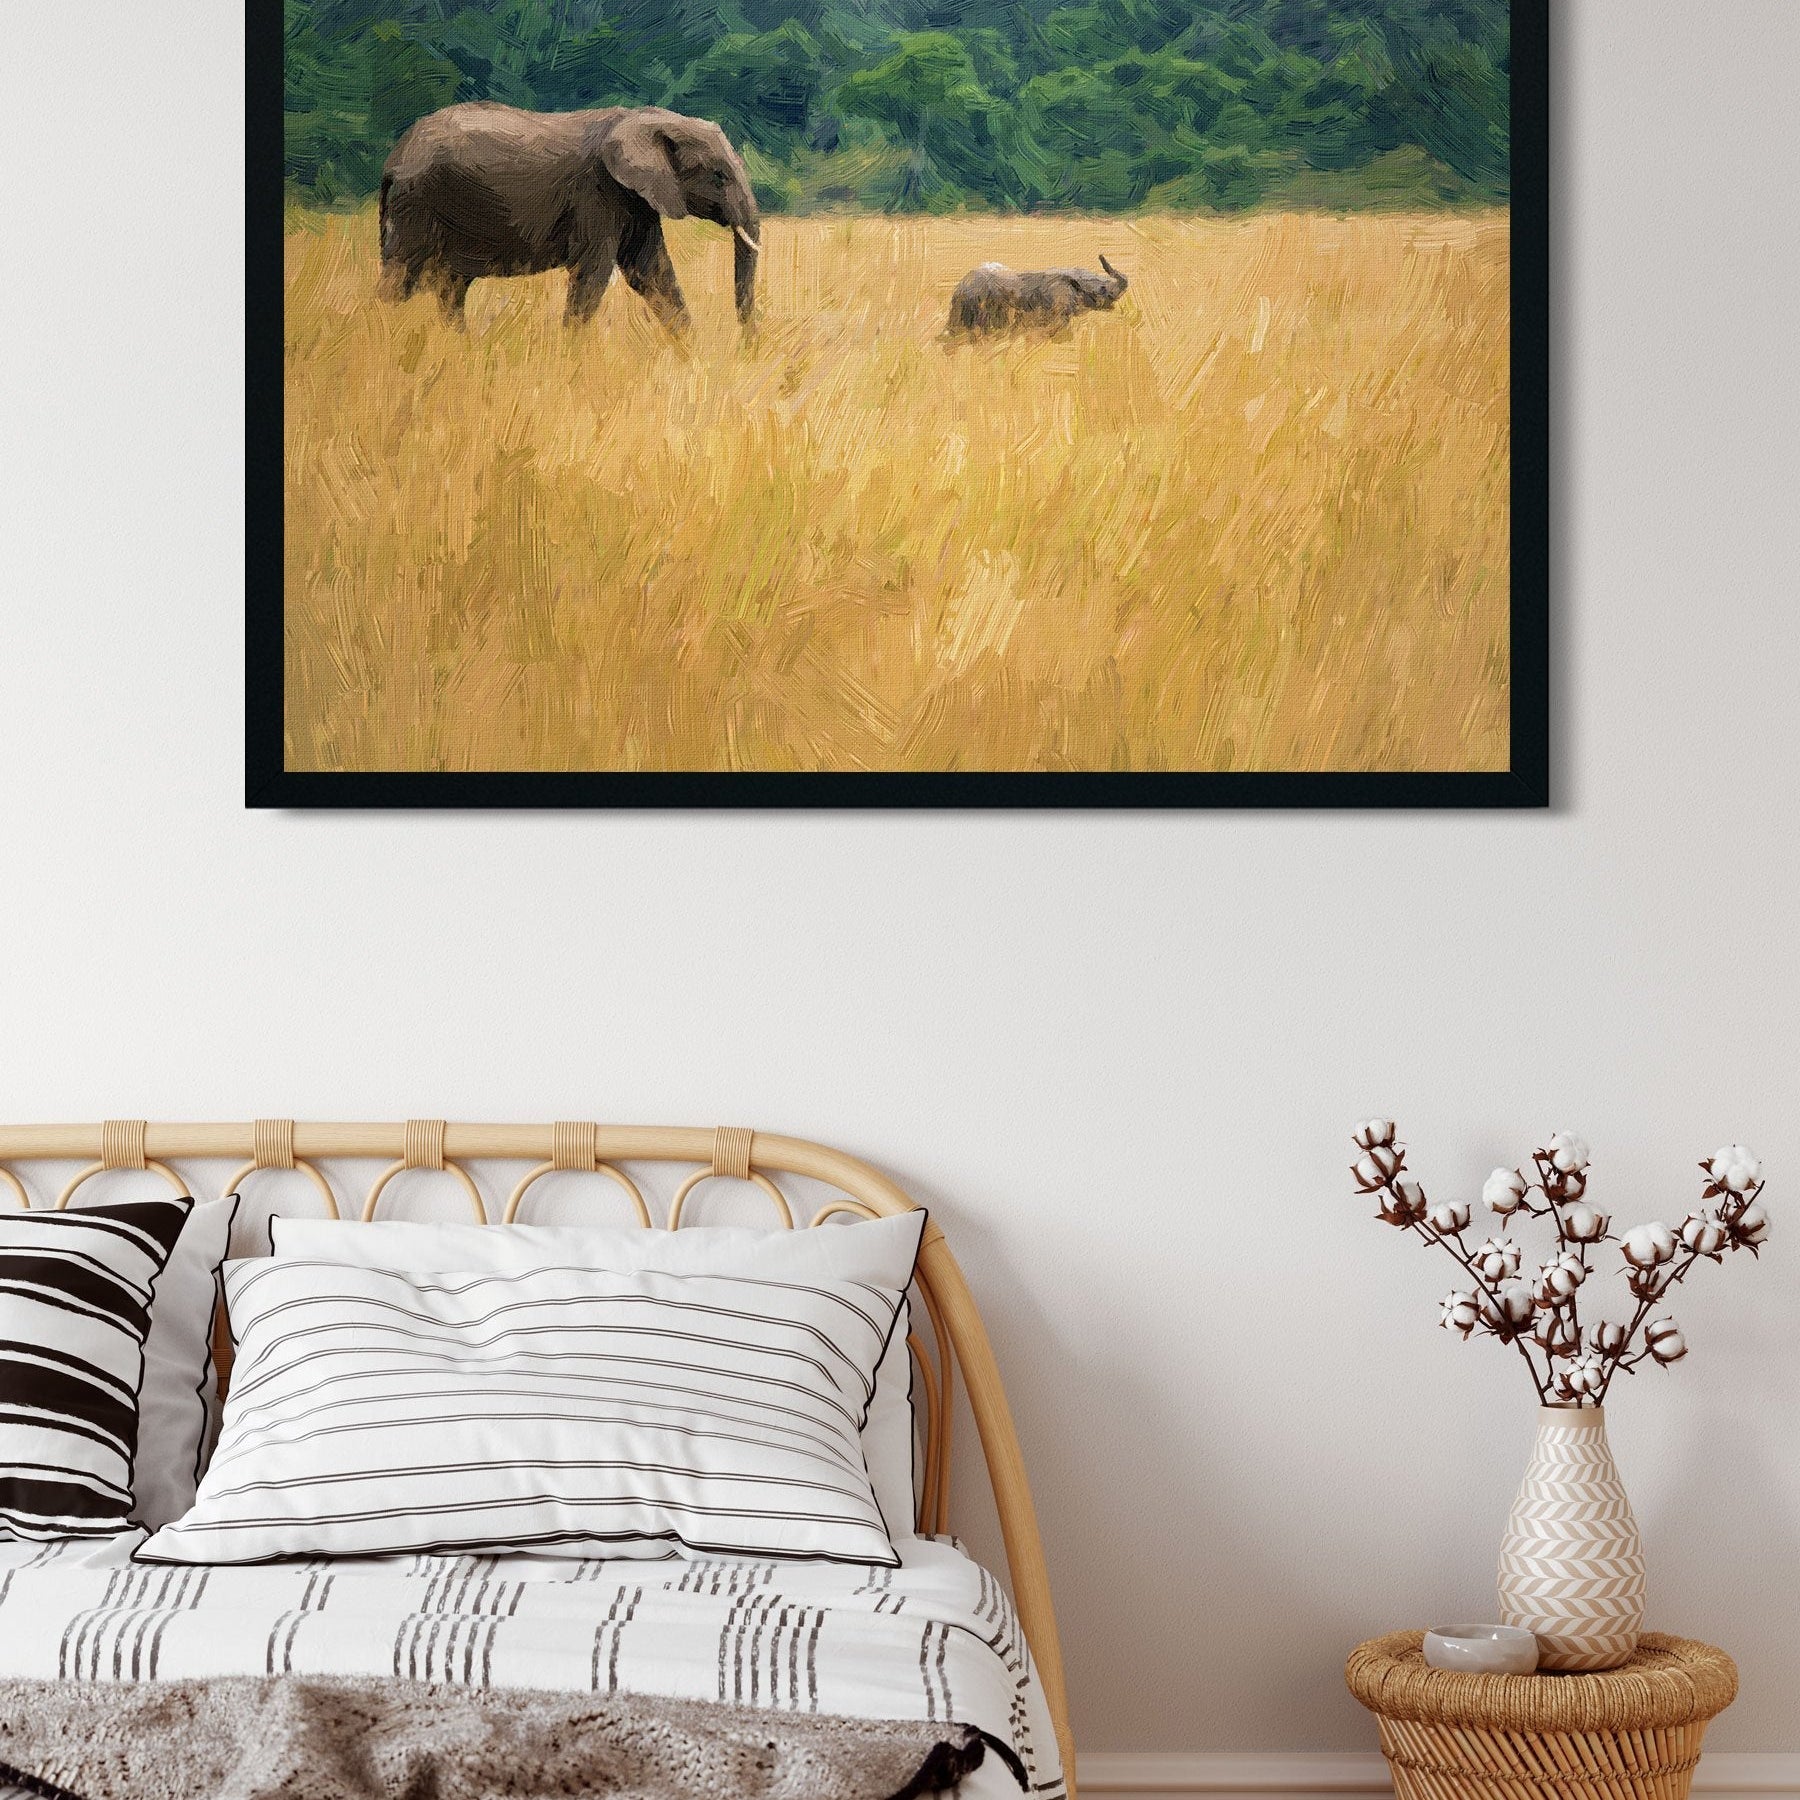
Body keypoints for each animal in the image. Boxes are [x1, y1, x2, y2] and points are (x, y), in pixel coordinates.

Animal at [377, 102, 760, 333]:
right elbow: (593, 274)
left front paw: (691, 360)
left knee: (450, 287)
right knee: (400, 281)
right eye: (719, 177)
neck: (645, 118)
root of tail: (394, 158)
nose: (746, 348)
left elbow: (652, 272)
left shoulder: (636, 199)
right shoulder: (597, 193)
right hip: (418, 204)